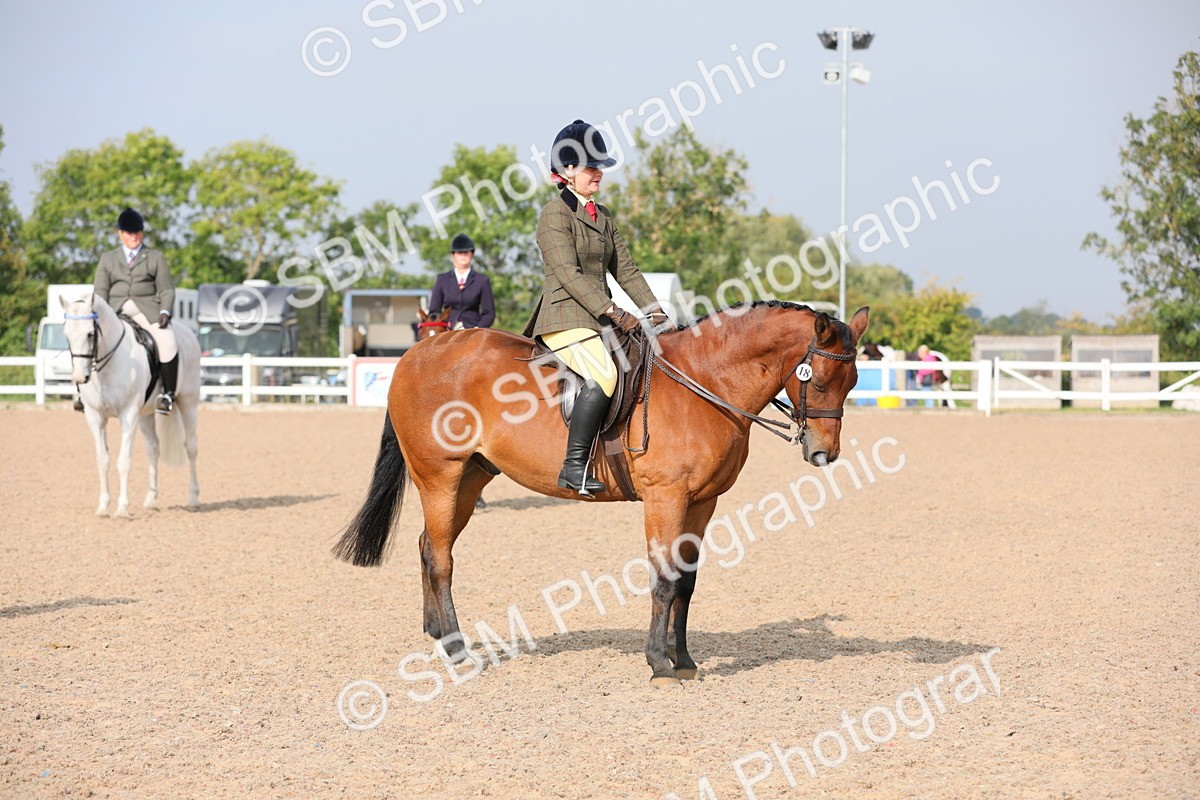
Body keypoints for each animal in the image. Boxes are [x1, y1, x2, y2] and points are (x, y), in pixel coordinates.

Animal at [61, 293, 202, 517]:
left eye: (90, 334)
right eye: (67, 336)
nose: (80, 378)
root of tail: (187, 332)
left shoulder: (128, 414)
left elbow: (124, 461)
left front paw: (122, 509)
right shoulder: (95, 416)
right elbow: (102, 460)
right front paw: (103, 507)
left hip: (188, 403)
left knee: (191, 447)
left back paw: (194, 498)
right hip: (144, 414)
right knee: (153, 448)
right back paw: (151, 500)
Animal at [334, 302, 868, 686]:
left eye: (854, 381)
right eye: (820, 381)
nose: (824, 454)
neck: (705, 382)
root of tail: (417, 355)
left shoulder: (702, 502)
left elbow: (687, 583)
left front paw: (685, 660)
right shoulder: (666, 498)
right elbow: (664, 579)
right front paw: (659, 665)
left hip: (470, 478)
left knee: (429, 546)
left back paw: (438, 634)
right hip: (440, 476)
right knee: (440, 558)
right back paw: (456, 648)